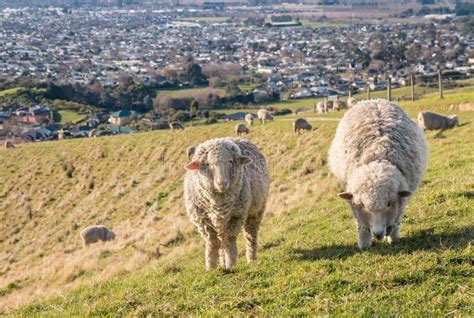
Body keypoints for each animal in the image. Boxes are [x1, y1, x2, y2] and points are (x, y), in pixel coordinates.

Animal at [183, 138, 268, 270]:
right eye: (207, 164)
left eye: (230, 161)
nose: (222, 183)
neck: (218, 204)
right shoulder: (203, 221)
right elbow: (212, 243)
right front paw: (211, 268)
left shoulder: (236, 216)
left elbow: (229, 239)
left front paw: (231, 264)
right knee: (221, 241)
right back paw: (222, 263)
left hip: (256, 211)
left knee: (250, 234)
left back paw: (251, 259)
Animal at [328, 99, 428, 248]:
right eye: (362, 205)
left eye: (389, 204)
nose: (378, 234)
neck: (377, 155)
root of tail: (373, 100)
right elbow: (361, 223)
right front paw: (364, 243)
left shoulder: (402, 199)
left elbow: (397, 218)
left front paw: (393, 237)